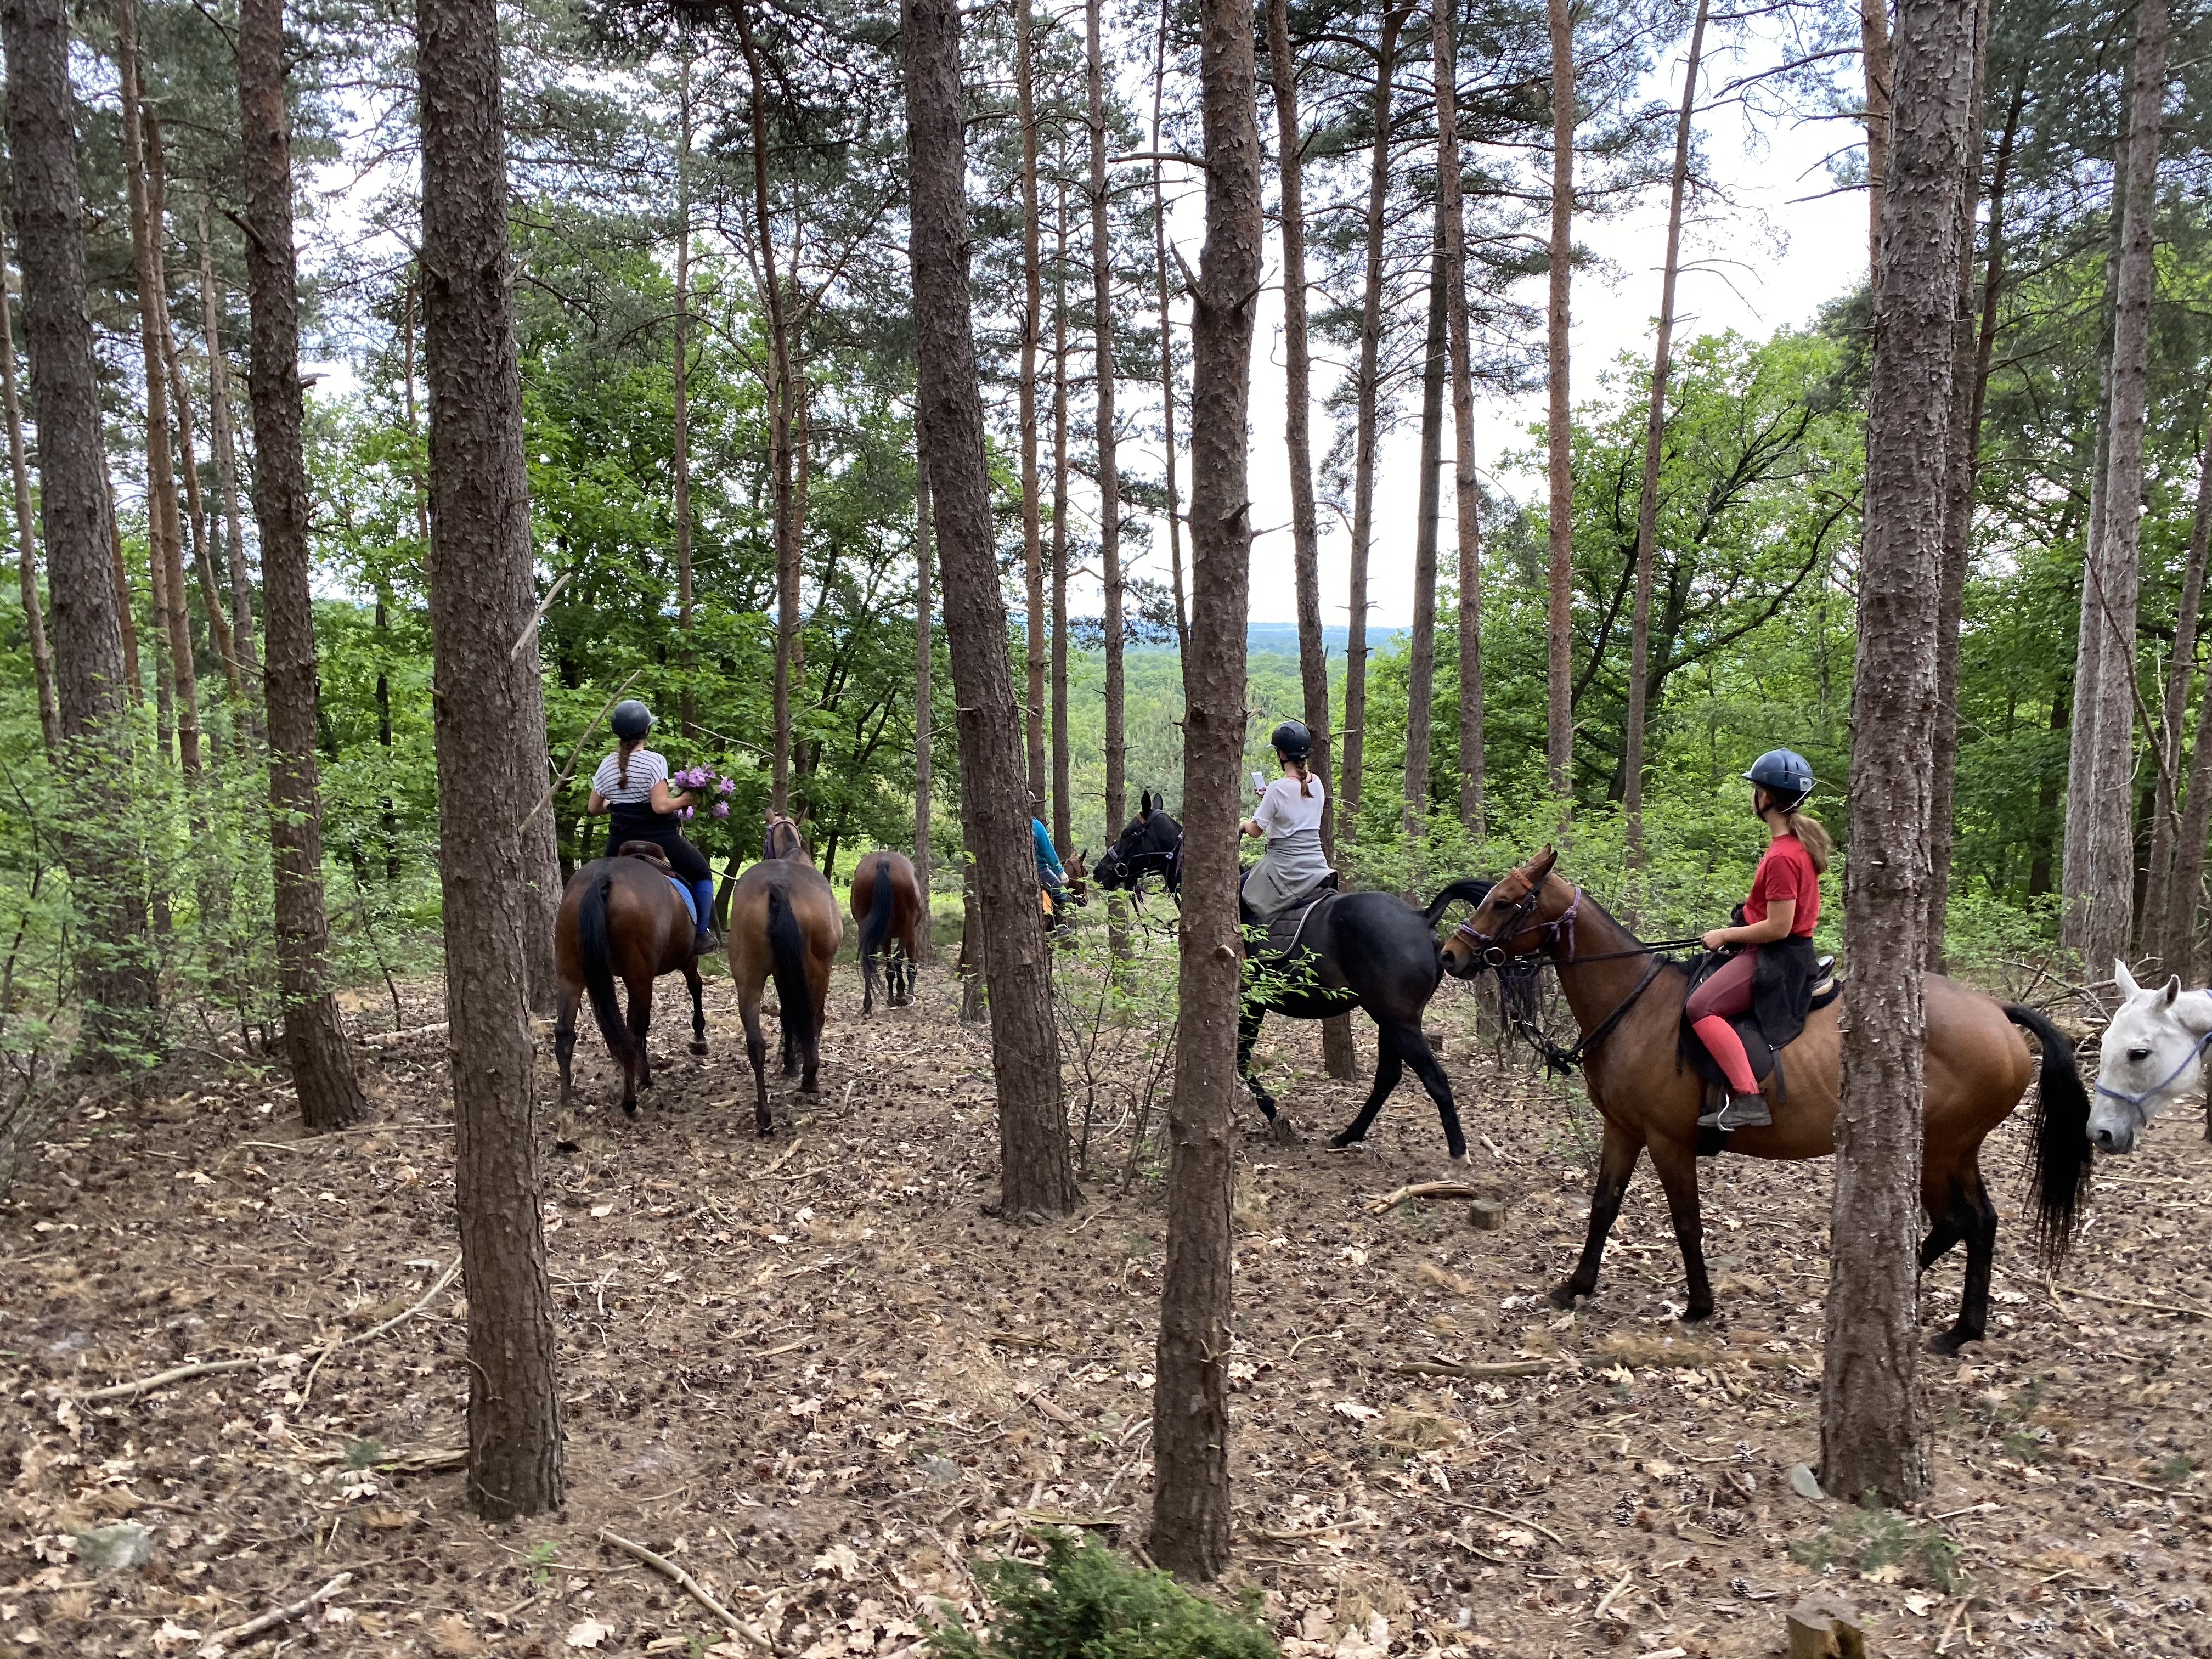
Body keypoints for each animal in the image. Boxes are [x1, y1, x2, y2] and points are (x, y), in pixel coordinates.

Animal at [557, 845, 703, 1119]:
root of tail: (603, 877)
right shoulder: (687, 959)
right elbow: (695, 987)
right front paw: (699, 1038)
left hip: (570, 976)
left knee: (564, 1035)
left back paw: (566, 1101)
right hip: (640, 979)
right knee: (633, 1034)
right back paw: (630, 1101)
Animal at [730, 832, 840, 1141]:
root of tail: (778, 886)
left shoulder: (780, 972)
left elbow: (785, 1014)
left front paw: (789, 1061)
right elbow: (802, 1016)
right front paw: (798, 1065)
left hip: (748, 977)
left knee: (756, 1044)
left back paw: (764, 1117)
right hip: (818, 969)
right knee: (813, 1018)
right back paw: (810, 1077)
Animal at [840, 849, 920, 1022]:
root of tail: (884, 862)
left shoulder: (886, 936)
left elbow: (890, 968)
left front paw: (892, 998)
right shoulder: (910, 933)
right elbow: (906, 961)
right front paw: (904, 994)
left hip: (864, 926)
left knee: (869, 963)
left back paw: (868, 1005)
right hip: (907, 927)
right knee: (897, 958)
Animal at [1088, 800, 1486, 1159]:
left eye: (1129, 833)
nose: (1100, 871)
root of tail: (1422, 918)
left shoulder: (1251, 1001)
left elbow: (1242, 1060)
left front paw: (1275, 1115)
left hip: (1398, 1019)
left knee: (1433, 1079)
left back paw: (1458, 1155)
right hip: (1390, 1019)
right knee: (1388, 1076)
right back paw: (1347, 1136)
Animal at [1433, 849, 2088, 1353]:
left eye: (1504, 901)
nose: (1450, 956)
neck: (1637, 1008)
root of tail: (1998, 1012)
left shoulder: (1668, 1141)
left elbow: (1686, 1220)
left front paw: (1698, 1304)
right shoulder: (1623, 1129)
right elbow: (1603, 1206)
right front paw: (1577, 1285)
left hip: (1940, 1149)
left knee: (1961, 1221)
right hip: (1958, 1149)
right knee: (1979, 1222)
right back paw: (1961, 1328)